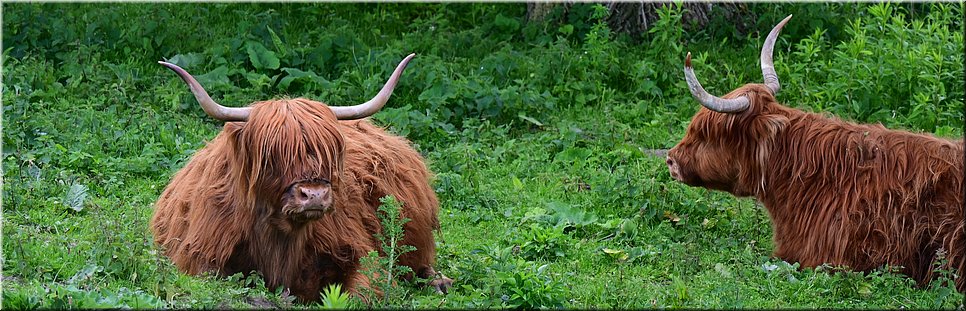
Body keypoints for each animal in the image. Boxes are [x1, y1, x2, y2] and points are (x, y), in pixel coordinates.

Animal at [151, 53, 454, 302]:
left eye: (329, 152)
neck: (281, 239)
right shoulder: (200, 259)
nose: (314, 195)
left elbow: (361, 293)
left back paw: (439, 283)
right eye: (272, 156)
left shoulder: (362, 254)